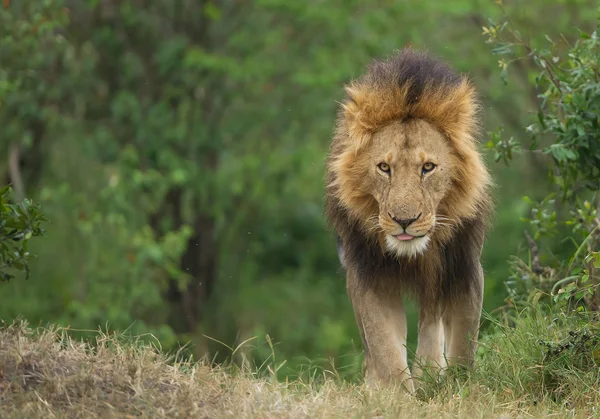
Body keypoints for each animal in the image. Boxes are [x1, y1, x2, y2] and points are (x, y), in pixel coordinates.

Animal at [328, 49, 492, 394]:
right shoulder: (370, 274)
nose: (404, 220)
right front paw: (395, 395)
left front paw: (456, 387)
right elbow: (384, 346)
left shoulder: (463, 267)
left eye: (428, 167)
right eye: (383, 167)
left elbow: (463, 344)